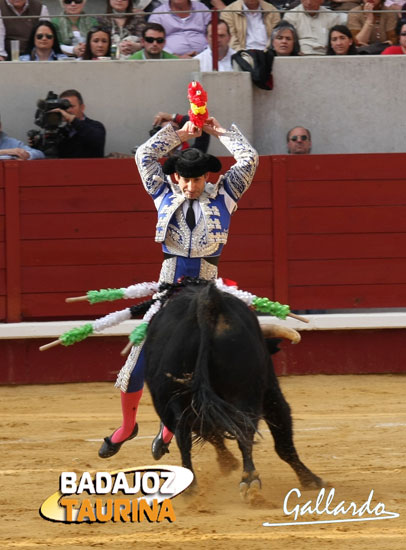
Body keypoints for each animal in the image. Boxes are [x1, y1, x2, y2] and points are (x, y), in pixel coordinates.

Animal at [144, 282, 322, 498]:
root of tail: (208, 303)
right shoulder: (270, 392)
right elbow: (282, 437)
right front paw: (309, 479)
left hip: (179, 399)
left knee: (186, 435)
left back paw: (195, 487)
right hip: (240, 392)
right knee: (240, 431)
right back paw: (248, 479)